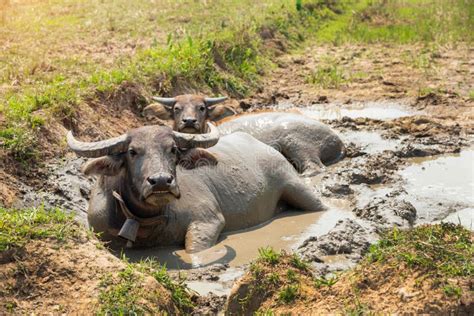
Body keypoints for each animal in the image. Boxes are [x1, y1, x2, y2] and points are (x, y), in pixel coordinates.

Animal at [67, 123, 326, 252]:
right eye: (132, 151)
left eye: (173, 149)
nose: (161, 181)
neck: (144, 223)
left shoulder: (209, 220)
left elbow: (193, 249)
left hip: (295, 185)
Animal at [152, 94, 344, 178]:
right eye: (177, 108)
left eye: (202, 108)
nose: (189, 121)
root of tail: (338, 140)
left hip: (297, 144)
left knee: (313, 167)